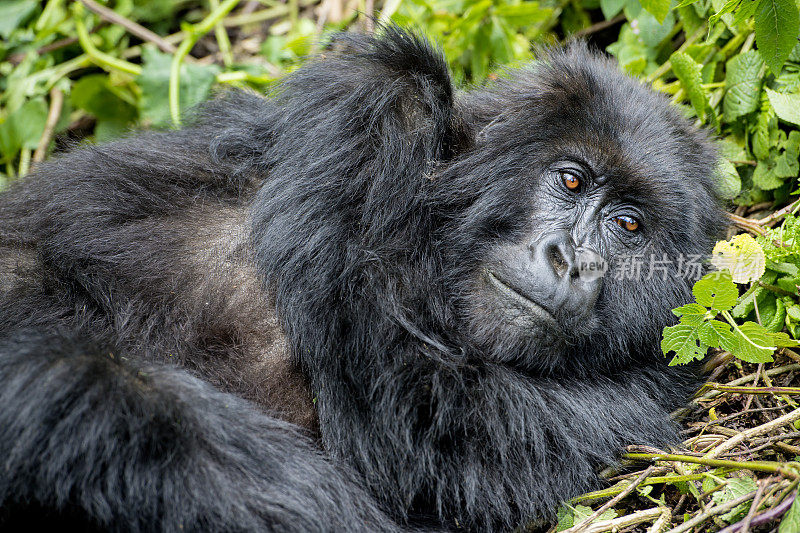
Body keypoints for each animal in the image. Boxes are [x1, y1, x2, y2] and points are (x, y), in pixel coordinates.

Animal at [0, 27, 724, 528]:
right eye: (571, 181)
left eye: (628, 226)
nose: (571, 260)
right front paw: (409, 96)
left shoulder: (631, 398)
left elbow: (391, 413)